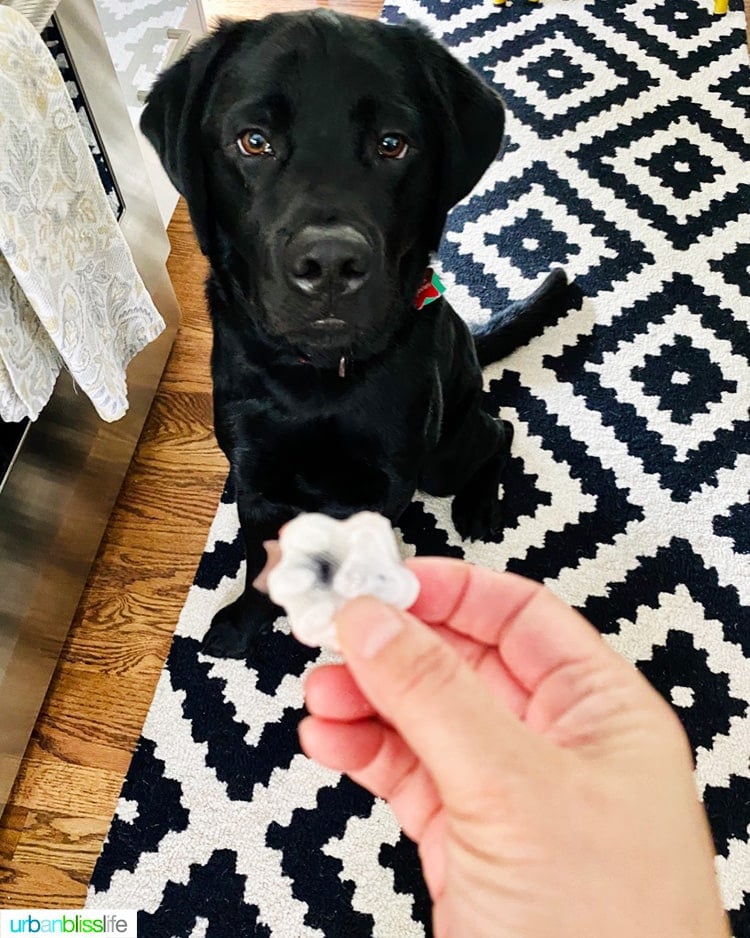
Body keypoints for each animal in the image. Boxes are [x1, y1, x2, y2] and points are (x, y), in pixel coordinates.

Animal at [144, 11, 568, 656]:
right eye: (253, 141)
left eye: (392, 144)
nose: (330, 265)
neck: (319, 379)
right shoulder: (255, 478)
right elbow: (258, 558)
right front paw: (245, 622)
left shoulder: (387, 485)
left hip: (443, 455)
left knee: (500, 429)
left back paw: (478, 507)